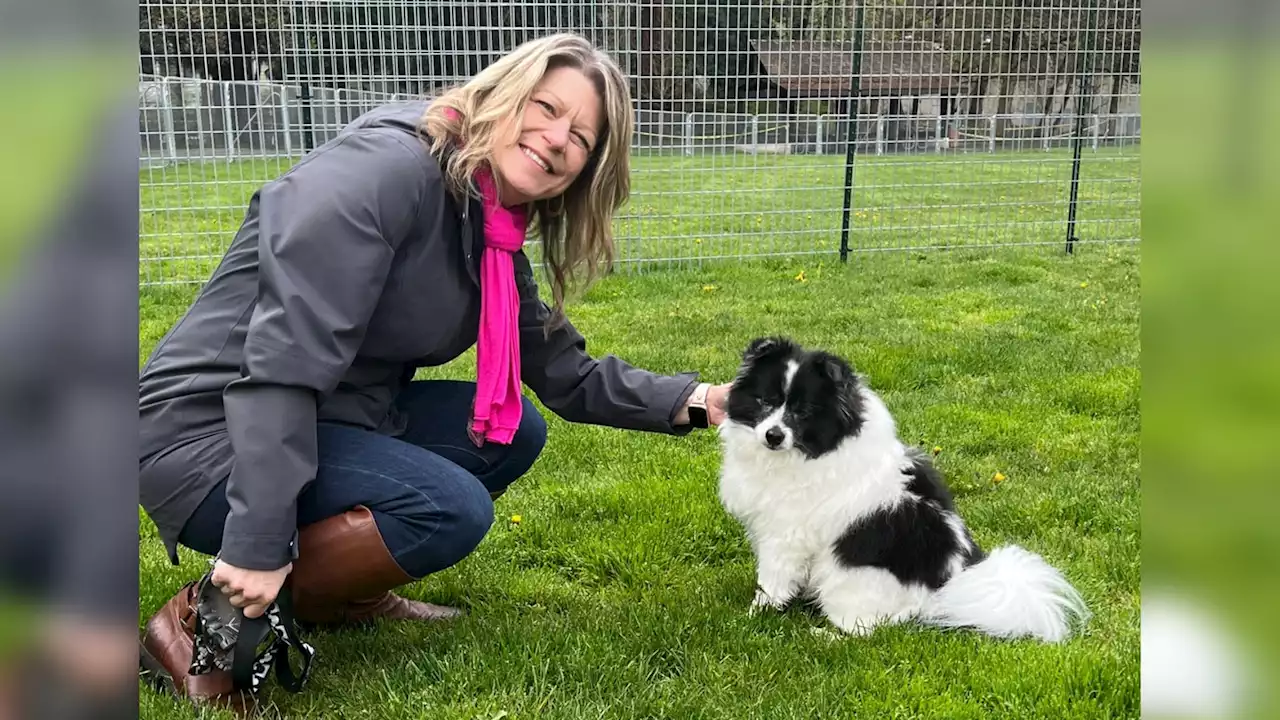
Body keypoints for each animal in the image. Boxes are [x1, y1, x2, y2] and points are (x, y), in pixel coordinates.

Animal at [716, 335, 1085, 638]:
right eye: (765, 401)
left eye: (803, 411)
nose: (773, 435)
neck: (809, 451)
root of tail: (948, 589)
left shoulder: (785, 535)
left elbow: (771, 582)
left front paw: (756, 615)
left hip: (847, 580)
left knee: (871, 627)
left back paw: (827, 636)